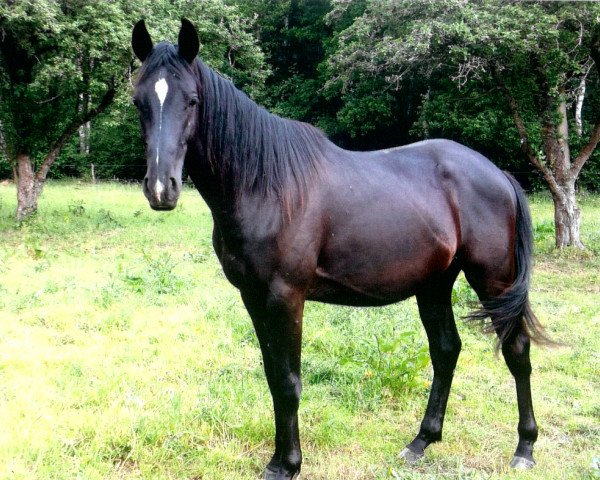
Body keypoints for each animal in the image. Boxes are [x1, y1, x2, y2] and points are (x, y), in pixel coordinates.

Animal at [130, 18, 548, 480]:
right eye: (138, 102)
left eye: (191, 100)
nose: (161, 189)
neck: (266, 186)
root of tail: (499, 174)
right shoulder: (254, 297)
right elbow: (273, 376)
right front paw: (281, 458)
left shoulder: (286, 297)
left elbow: (289, 382)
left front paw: (286, 464)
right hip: (435, 284)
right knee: (446, 351)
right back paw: (421, 442)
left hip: (493, 280)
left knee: (516, 350)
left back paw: (525, 448)